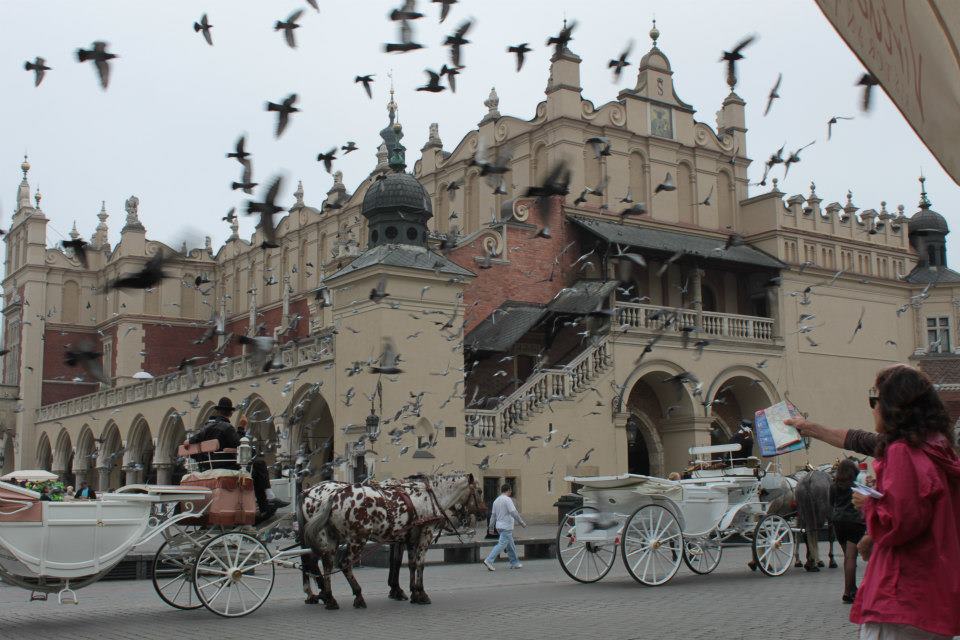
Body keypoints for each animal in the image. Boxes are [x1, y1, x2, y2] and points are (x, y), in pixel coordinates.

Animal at [298, 476, 484, 608]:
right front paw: (420, 593)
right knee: (342, 564)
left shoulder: (408, 539)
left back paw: (329, 598)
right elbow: (418, 564)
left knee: (326, 564)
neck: (429, 497)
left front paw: (411, 593)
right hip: (357, 539)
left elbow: (410, 564)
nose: (484, 512)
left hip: (331, 538)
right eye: (480, 491)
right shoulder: (425, 534)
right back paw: (356, 595)